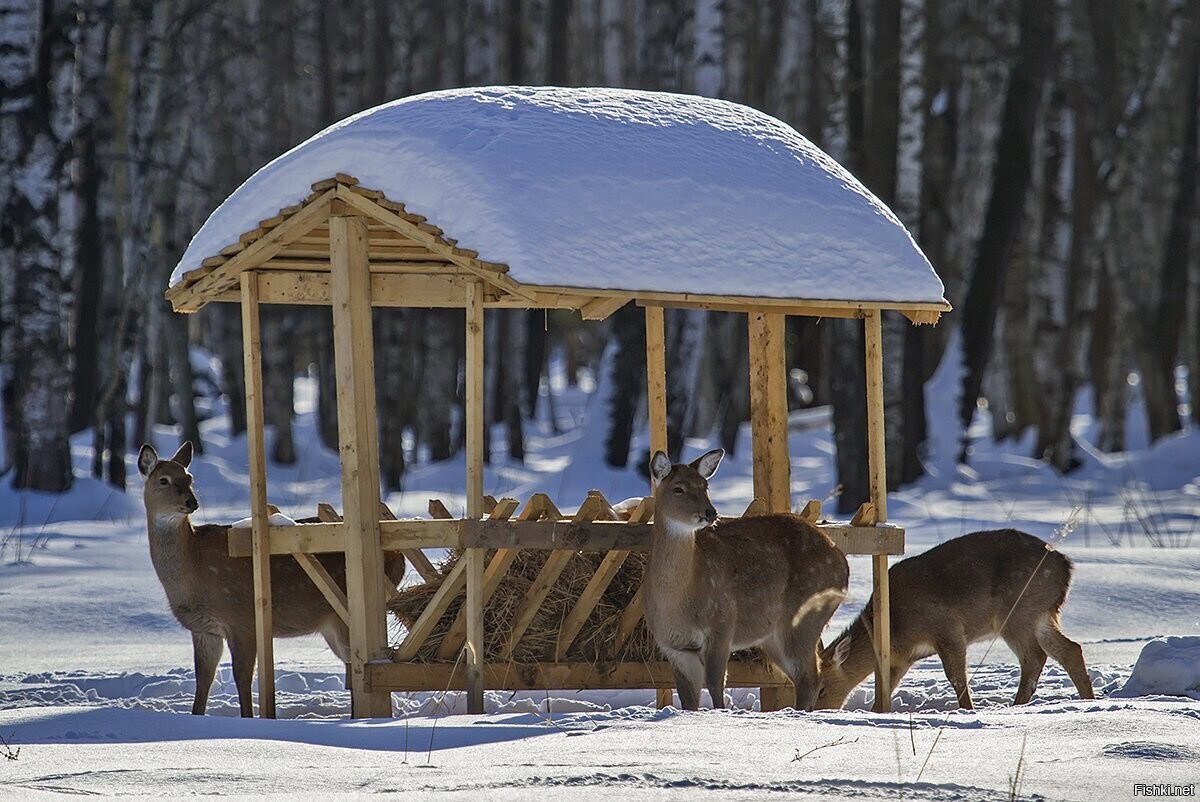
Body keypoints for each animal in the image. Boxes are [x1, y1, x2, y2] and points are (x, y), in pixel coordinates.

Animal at [138, 441, 405, 715]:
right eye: (164, 480)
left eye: (189, 478)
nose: (192, 502)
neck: (195, 566)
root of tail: (399, 557)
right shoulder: (204, 630)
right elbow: (203, 680)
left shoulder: (242, 619)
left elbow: (242, 677)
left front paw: (249, 717)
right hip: (331, 624)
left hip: (345, 614)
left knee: (356, 667)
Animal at [643, 449, 849, 710]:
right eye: (678, 488)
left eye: (705, 486)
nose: (711, 512)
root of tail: (842, 562)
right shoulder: (674, 647)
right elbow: (688, 699)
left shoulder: (722, 624)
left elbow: (716, 685)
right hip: (774, 636)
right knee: (806, 676)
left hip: (806, 617)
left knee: (810, 676)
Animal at [816, 528, 1099, 710]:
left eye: (821, 688)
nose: (811, 711)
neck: (892, 626)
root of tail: (1066, 567)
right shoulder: (901, 660)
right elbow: (885, 687)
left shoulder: (947, 627)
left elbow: (956, 676)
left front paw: (966, 710)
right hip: (1040, 613)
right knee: (1070, 649)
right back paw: (1088, 700)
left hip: (1017, 612)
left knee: (1035, 657)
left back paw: (1016, 706)